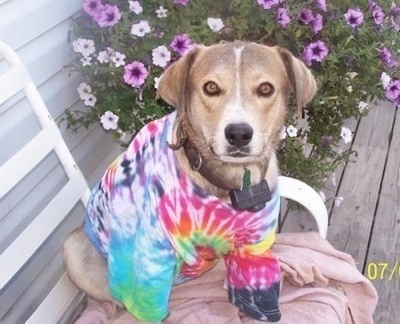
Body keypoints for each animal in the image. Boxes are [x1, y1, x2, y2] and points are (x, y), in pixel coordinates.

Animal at [64, 41, 318, 322]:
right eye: (211, 87)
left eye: (265, 89)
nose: (239, 134)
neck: (229, 182)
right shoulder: (150, 259)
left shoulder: (254, 247)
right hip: (74, 249)